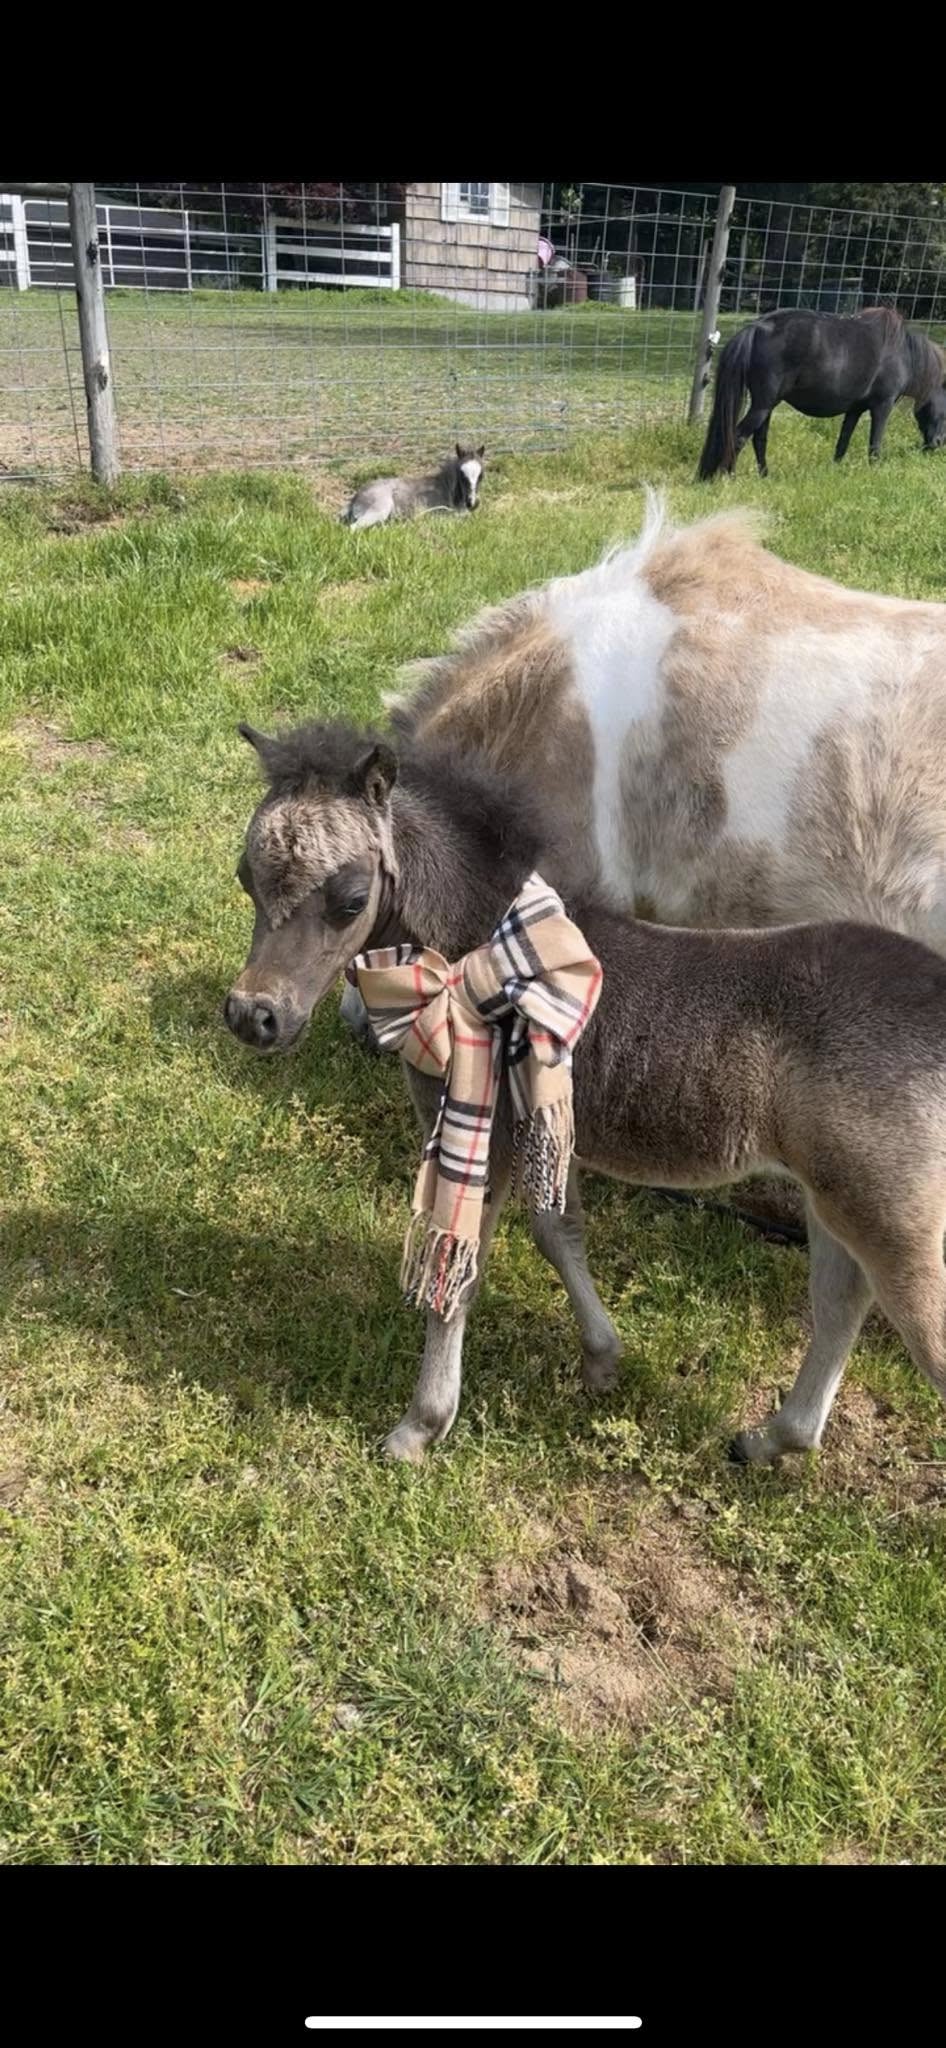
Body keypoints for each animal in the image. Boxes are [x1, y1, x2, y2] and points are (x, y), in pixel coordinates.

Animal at [225, 719, 946, 1470]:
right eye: (246, 878)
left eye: (349, 899)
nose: (254, 1016)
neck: (482, 949)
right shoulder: (545, 1123)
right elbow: (558, 1230)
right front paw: (602, 1359)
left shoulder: (482, 1130)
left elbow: (460, 1271)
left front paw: (419, 1428)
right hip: (836, 1197)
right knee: (840, 1303)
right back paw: (773, 1438)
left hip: (892, 1216)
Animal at [341, 444, 486, 529]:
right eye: (462, 474)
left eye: (481, 475)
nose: (472, 503)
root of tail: (355, 498)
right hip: (378, 510)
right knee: (353, 528)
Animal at [697, 307, 946, 479]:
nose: (938, 443)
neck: (903, 353)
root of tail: (757, 328)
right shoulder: (883, 405)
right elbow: (875, 443)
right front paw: (874, 470)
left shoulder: (855, 409)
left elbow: (843, 441)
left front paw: (835, 469)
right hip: (763, 405)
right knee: (738, 437)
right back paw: (728, 477)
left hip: (766, 405)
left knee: (759, 440)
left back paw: (765, 475)